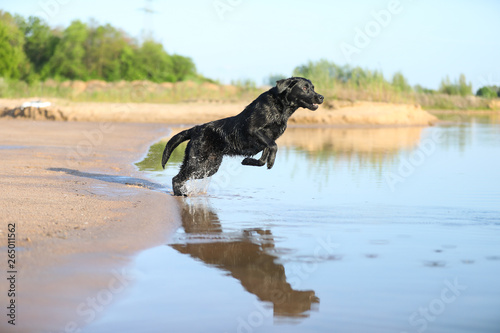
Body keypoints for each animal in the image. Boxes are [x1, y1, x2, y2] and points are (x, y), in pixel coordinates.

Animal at [161, 76, 324, 196]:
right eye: (305, 88)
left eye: (313, 87)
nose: (321, 97)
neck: (280, 108)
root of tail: (195, 129)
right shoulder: (254, 130)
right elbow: (274, 147)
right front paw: (270, 162)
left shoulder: (267, 139)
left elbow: (263, 157)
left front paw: (248, 161)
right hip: (197, 161)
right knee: (177, 177)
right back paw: (180, 194)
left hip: (209, 166)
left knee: (184, 177)